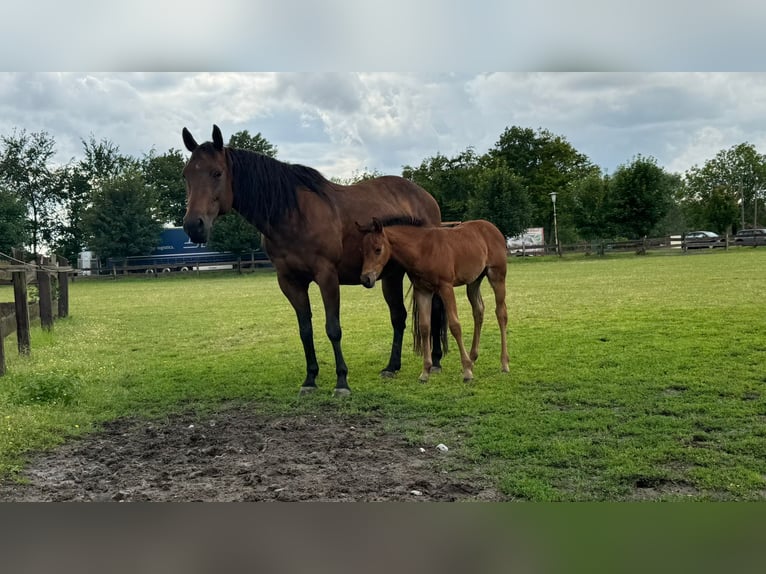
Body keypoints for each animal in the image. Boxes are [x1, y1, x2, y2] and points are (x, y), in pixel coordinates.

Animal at [181, 125, 446, 396]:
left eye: (217, 173)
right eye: (186, 175)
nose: (193, 225)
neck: (293, 215)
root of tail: (425, 197)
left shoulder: (327, 276)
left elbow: (333, 328)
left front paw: (342, 382)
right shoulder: (290, 281)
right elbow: (305, 330)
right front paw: (310, 379)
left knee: (436, 309)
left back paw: (435, 361)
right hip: (391, 275)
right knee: (398, 316)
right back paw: (392, 367)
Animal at [357, 217, 510, 383]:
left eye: (378, 249)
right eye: (363, 250)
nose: (366, 279)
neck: (422, 250)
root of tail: (493, 228)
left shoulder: (446, 287)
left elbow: (455, 326)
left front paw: (467, 372)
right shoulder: (422, 291)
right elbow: (424, 327)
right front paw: (425, 372)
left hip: (497, 276)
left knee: (501, 313)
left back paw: (503, 363)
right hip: (474, 281)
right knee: (478, 311)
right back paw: (472, 358)